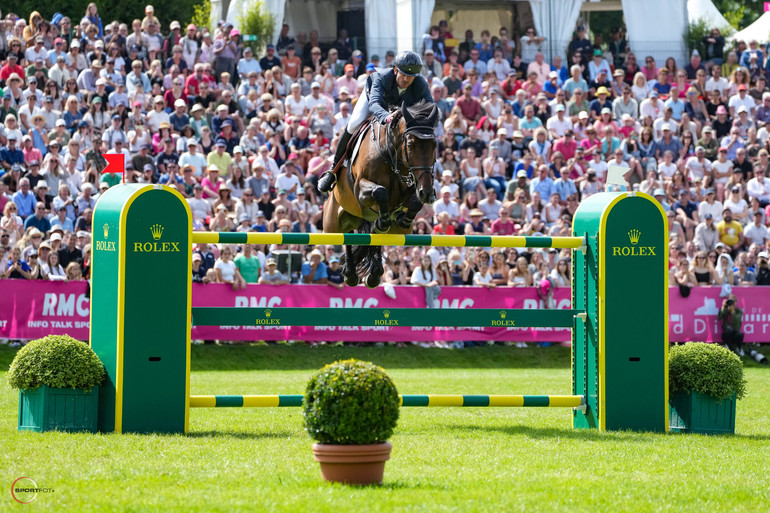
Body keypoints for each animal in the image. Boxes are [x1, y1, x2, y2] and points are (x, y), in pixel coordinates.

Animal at [320, 100, 438, 288]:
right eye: (410, 145)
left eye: (434, 145)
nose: (426, 192)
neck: (390, 154)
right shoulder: (361, 190)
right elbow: (380, 191)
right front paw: (383, 220)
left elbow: (414, 202)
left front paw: (403, 218)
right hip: (332, 226)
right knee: (347, 236)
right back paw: (350, 273)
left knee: (374, 236)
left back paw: (374, 272)